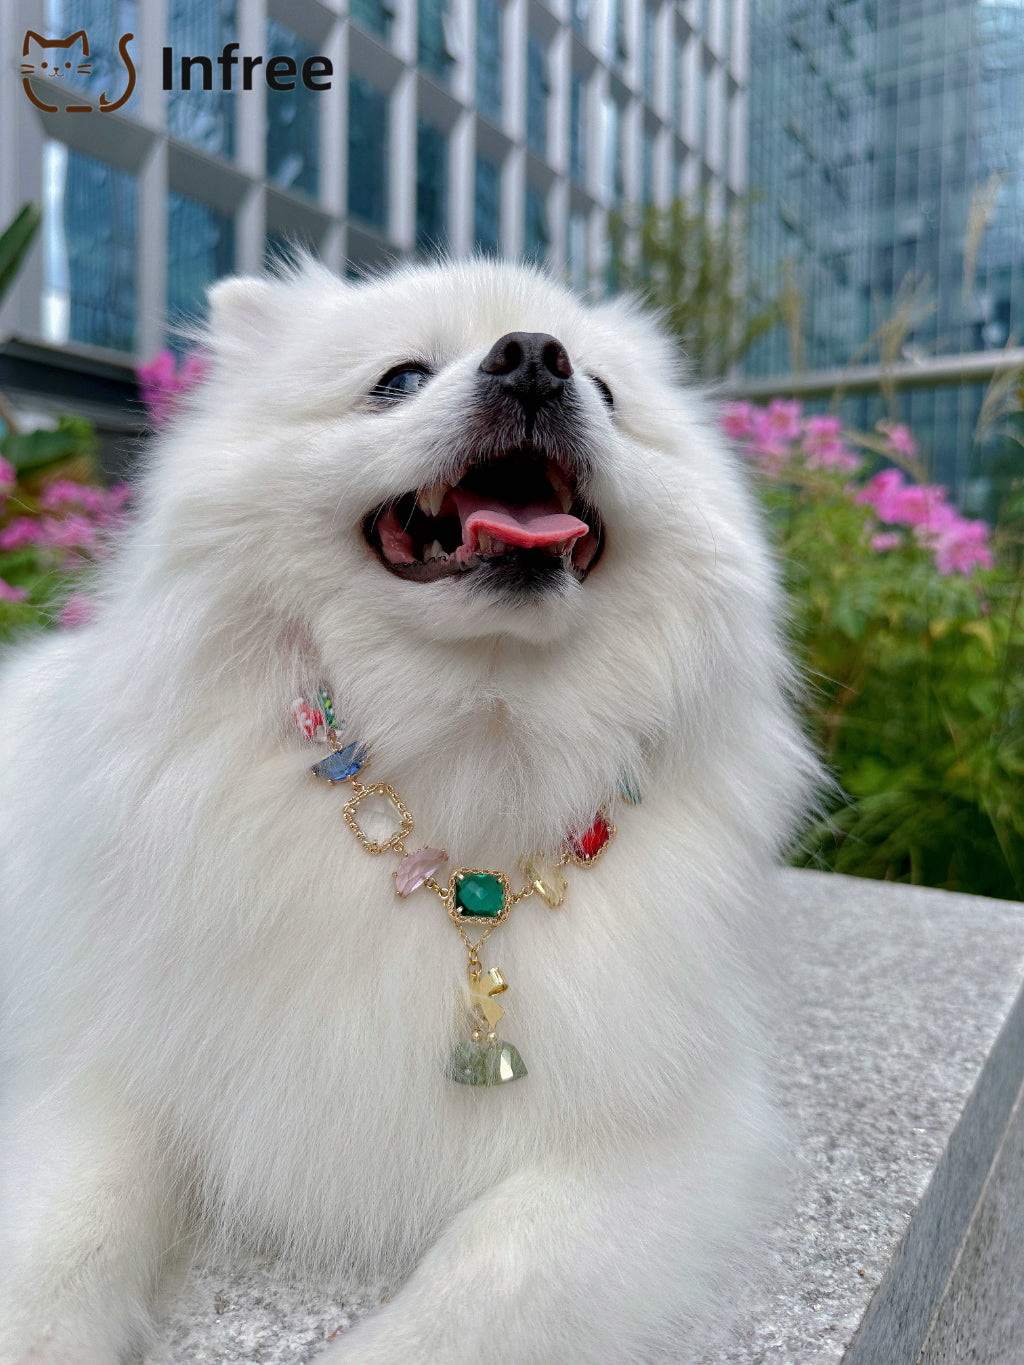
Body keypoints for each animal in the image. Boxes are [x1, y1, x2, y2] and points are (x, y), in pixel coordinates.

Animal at [0, 260, 819, 1359]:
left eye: (607, 392)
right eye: (397, 380)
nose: (535, 357)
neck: (475, 741)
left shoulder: (659, 1130)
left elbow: (497, 1273)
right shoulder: (106, 1042)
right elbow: (67, 1225)